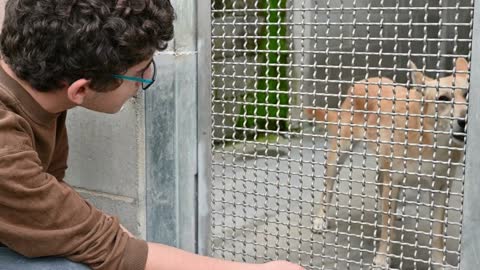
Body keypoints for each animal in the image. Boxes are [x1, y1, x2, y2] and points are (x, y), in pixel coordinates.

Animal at [306, 58, 466, 268]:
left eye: (467, 94)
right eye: (443, 98)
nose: (465, 120)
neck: (430, 141)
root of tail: (363, 80)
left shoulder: (441, 188)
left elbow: (438, 233)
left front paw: (439, 262)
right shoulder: (393, 180)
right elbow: (387, 229)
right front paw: (382, 258)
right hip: (339, 154)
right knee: (328, 188)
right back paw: (320, 218)